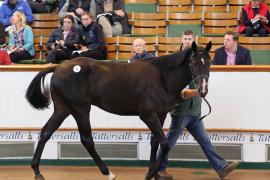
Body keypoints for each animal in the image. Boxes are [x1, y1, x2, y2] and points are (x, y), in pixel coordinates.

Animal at [25, 41, 211, 180]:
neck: (161, 78)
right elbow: (165, 143)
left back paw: (37, 171)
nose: (202, 90)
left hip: (63, 109)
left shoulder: (161, 115)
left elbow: (155, 142)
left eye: (209, 63)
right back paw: (108, 172)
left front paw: (154, 172)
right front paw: (151, 173)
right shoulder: (148, 116)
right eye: (194, 63)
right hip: (80, 109)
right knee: (86, 140)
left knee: (45, 133)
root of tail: (58, 68)